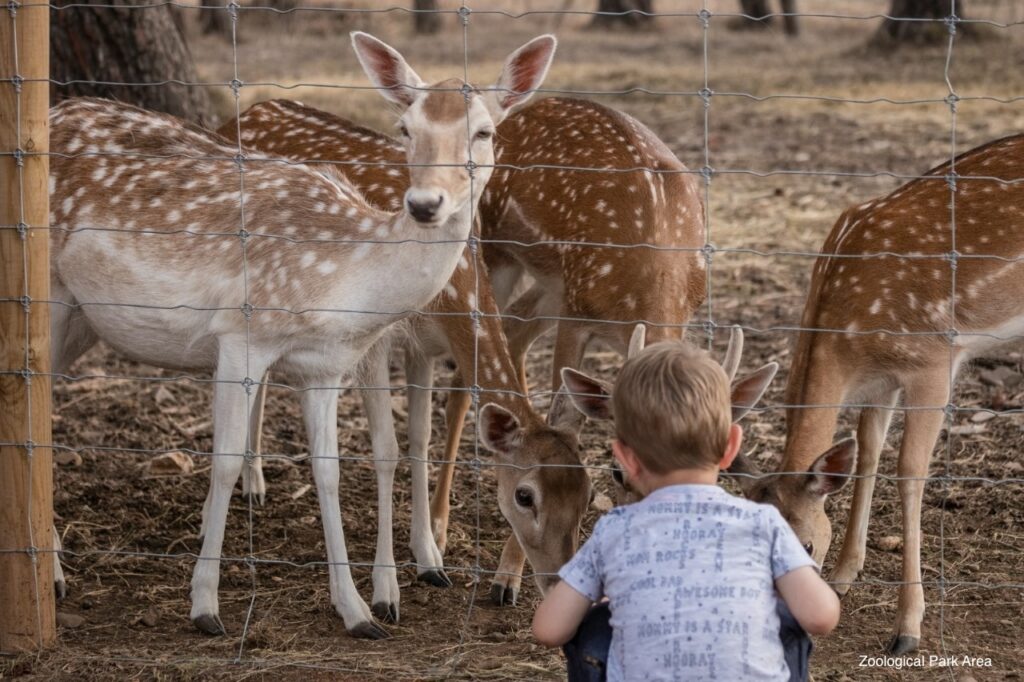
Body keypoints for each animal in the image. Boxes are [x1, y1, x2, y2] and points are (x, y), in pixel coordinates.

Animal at [47, 30, 557, 638]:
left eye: (484, 131)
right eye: (405, 128)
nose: (424, 204)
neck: (345, 279)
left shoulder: (326, 366)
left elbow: (330, 472)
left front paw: (358, 611)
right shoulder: (240, 335)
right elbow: (223, 460)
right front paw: (205, 606)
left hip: (81, 317)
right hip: (45, 294)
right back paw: (53, 573)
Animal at [729, 133, 1024, 655]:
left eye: (807, 545)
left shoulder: (933, 363)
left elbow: (909, 472)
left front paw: (908, 627)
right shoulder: (881, 380)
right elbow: (867, 454)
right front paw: (845, 576)